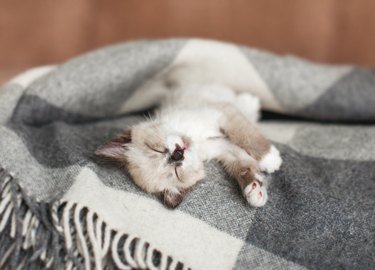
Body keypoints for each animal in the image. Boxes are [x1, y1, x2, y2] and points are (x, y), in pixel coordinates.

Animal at [96, 83, 282, 209]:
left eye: (155, 149)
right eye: (176, 172)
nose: (176, 155)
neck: (195, 139)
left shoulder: (222, 114)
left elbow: (247, 137)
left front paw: (270, 159)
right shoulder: (225, 149)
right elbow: (244, 167)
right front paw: (255, 192)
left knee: (244, 106)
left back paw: (251, 101)